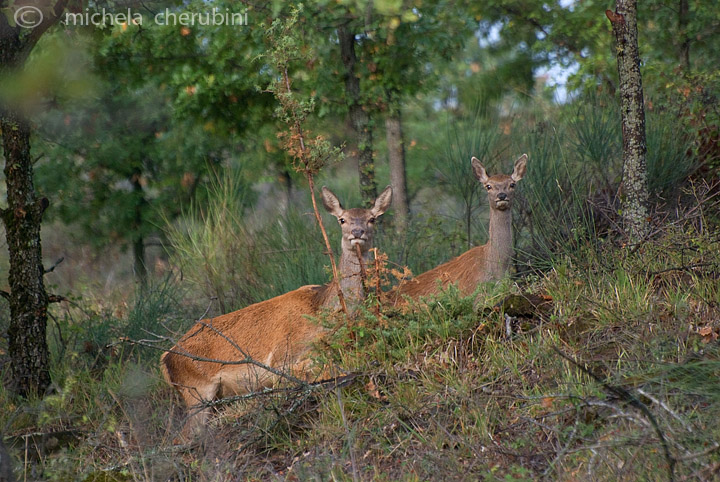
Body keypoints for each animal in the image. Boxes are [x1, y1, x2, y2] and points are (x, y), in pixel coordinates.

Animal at [162, 185, 394, 440]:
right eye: (342, 219)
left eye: (372, 218)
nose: (357, 231)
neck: (324, 312)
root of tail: (165, 359)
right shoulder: (281, 355)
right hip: (197, 391)